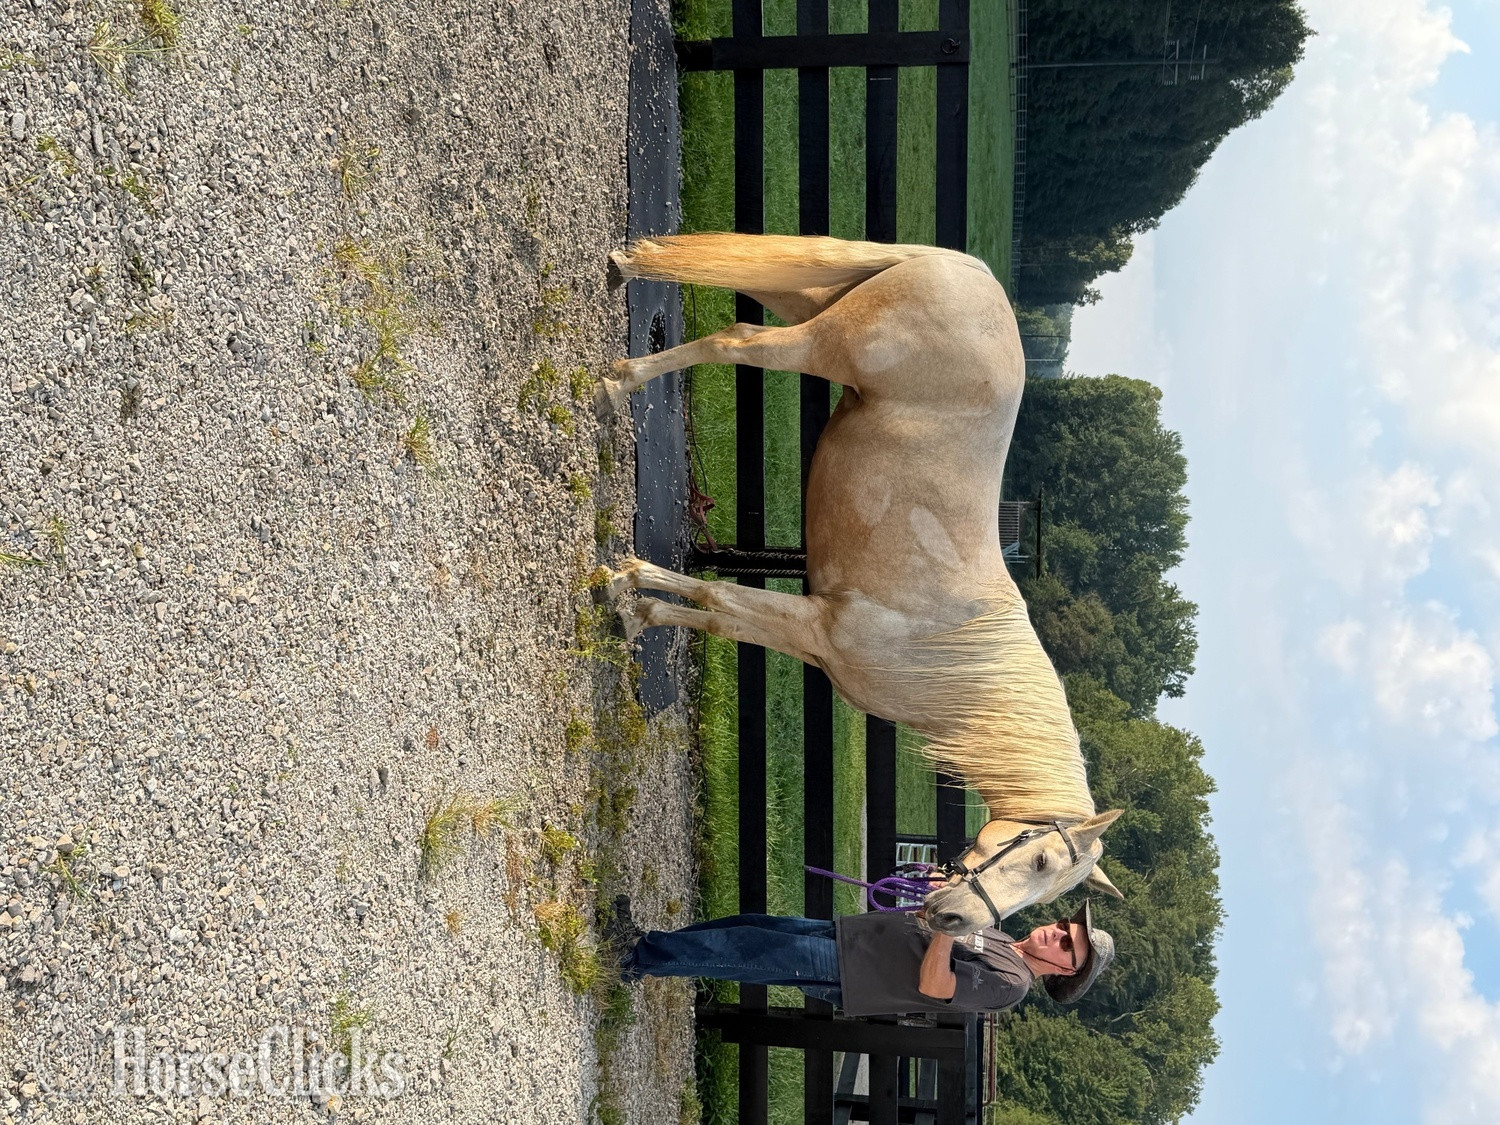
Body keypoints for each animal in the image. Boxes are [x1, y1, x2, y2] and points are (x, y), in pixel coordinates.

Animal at [602, 233, 1123, 936]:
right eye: (1040, 861)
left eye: (1045, 893)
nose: (952, 920)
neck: (958, 655)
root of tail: (962, 266)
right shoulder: (820, 621)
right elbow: (717, 594)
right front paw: (625, 580)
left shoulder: (813, 641)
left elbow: (718, 616)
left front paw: (640, 614)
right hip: (824, 342)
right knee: (737, 341)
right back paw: (615, 383)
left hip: (809, 295)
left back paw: (625, 270)